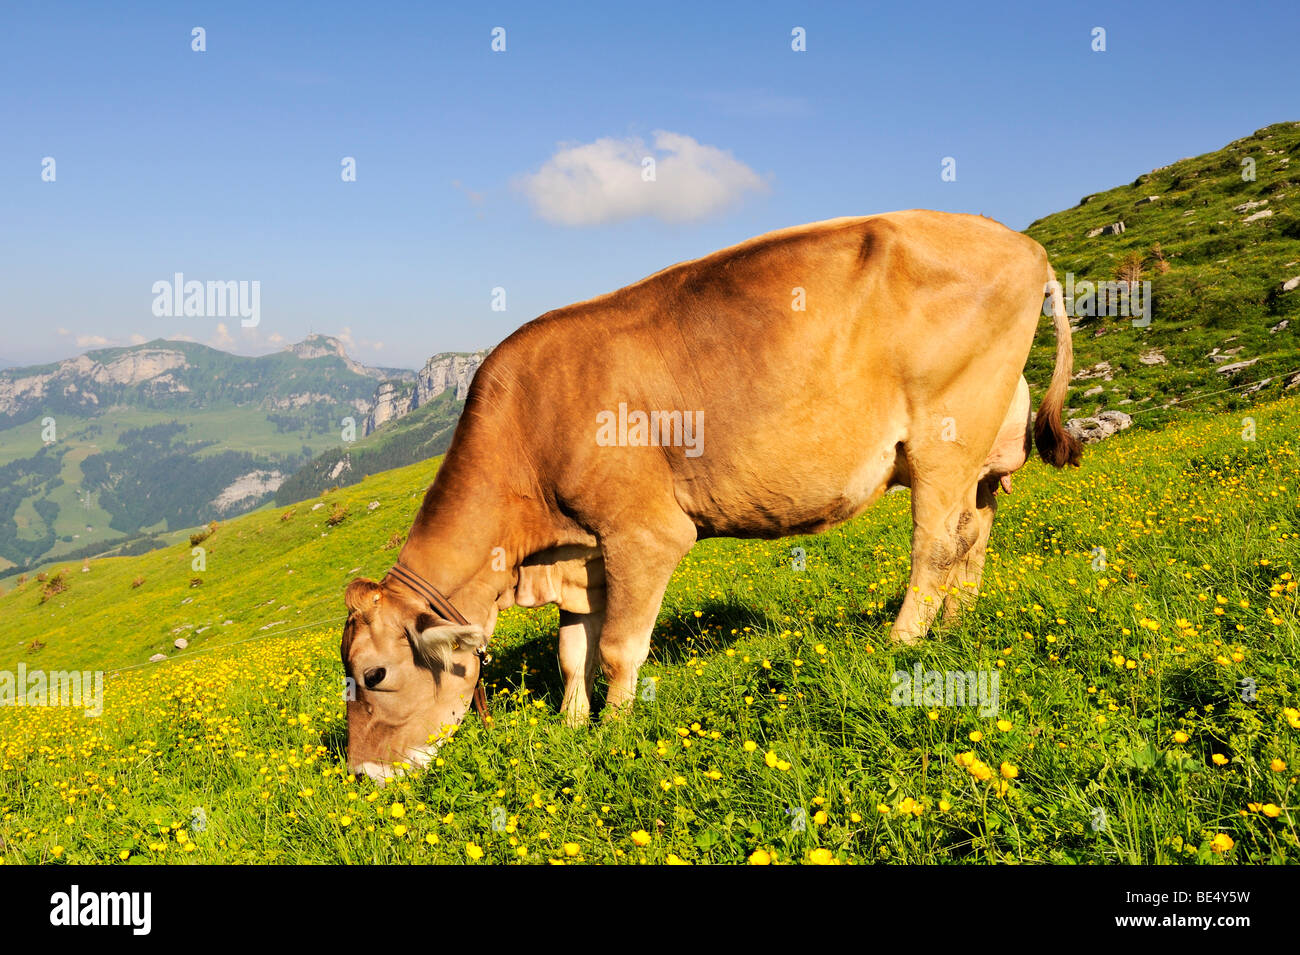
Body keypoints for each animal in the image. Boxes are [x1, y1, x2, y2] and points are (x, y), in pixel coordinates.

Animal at [341, 210, 1082, 780]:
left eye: (373, 674)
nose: (362, 774)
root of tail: (1022, 244)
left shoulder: (645, 532)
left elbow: (617, 648)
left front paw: (615, 732)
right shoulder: (585, 551)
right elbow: (572, 649)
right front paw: (572, 723)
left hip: (945, 435)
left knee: (937, 542)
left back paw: (900, 644)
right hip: (981, 456)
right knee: (973, 532)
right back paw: (955, 627)